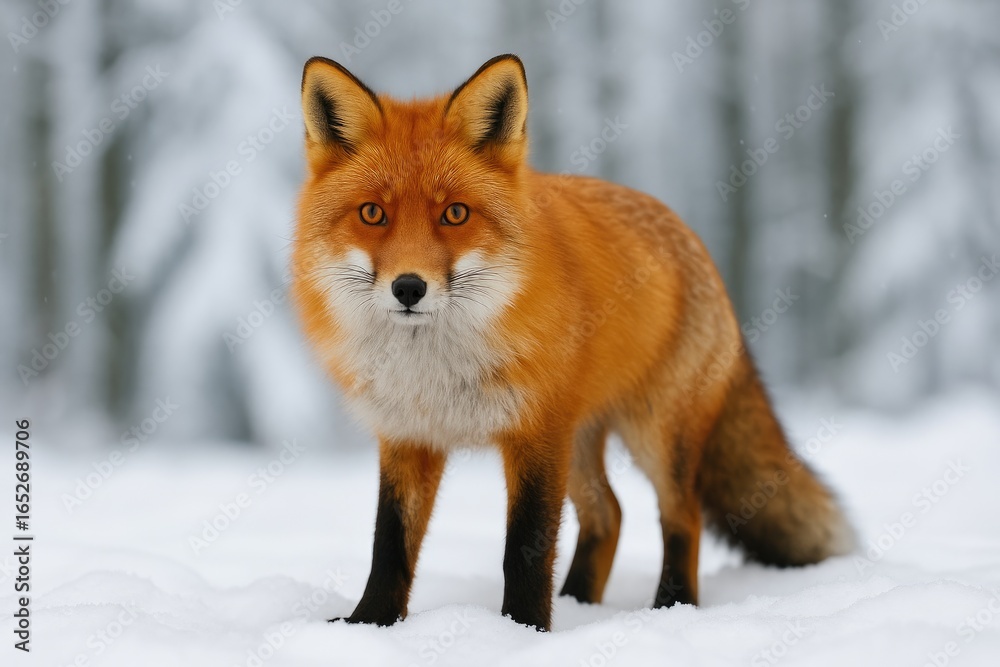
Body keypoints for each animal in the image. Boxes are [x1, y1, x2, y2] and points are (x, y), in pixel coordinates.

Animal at [291, 54, 853, 632]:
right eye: (372, 213)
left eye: (455, 214)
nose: (408, 287)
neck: (436, 368)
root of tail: (691, 239)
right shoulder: (408, 435)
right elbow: (390, 545)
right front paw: (369, 625)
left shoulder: (537, 434)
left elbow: (525, 549)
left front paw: (522, 630)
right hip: (582, 440)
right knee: (610, 514)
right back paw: (581, 602)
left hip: (654, 434)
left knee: (681, 515)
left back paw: (670, 608)